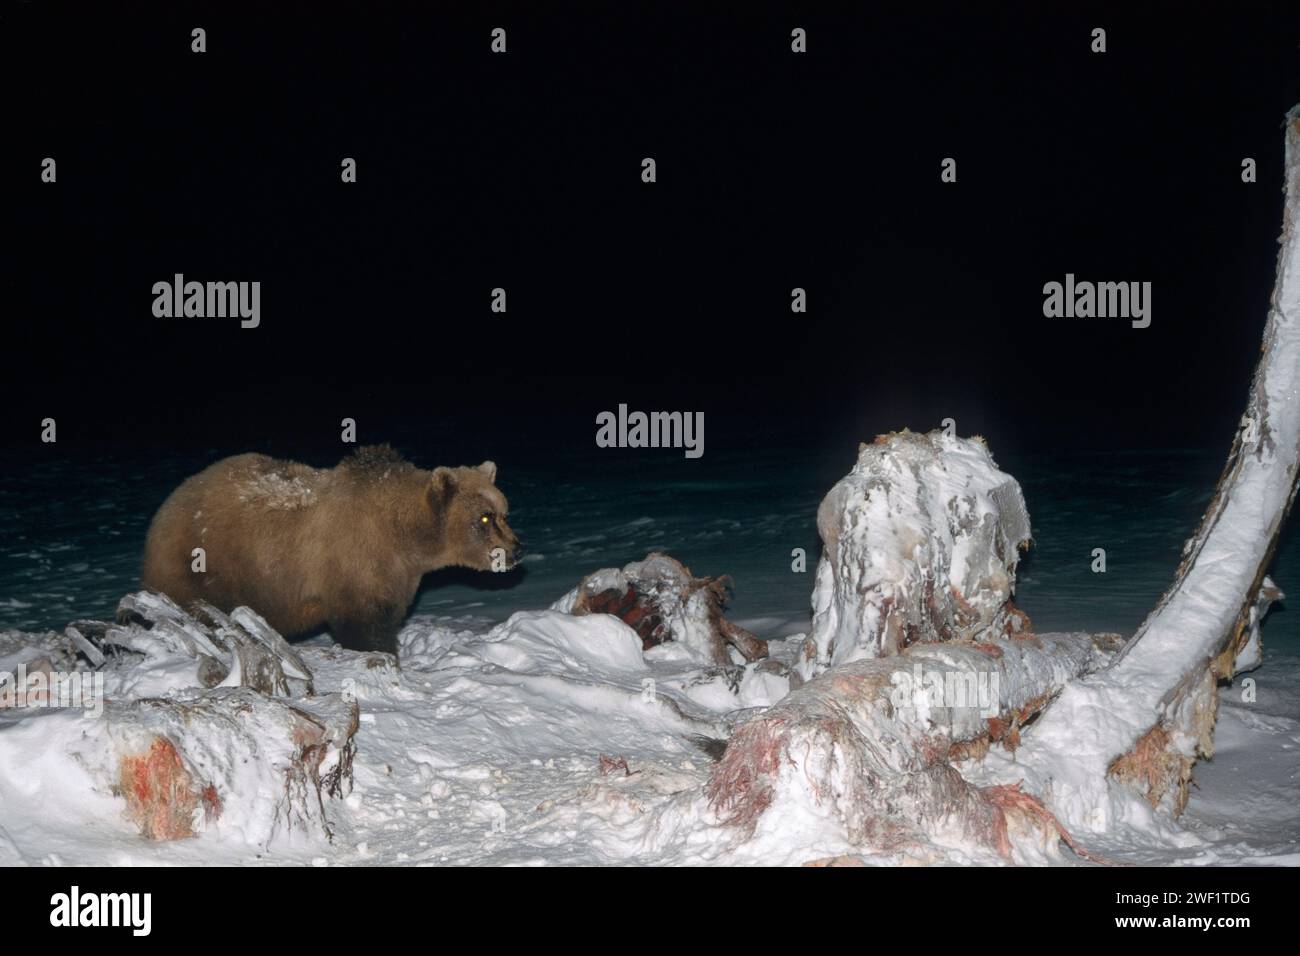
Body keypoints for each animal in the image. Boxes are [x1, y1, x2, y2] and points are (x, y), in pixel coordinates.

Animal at [140, 444, 522, 656]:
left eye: (503, 511)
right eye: (485, 517)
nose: (516, 550)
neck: (404, 536)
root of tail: (166, 506)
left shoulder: (396, 574)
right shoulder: (355, 564)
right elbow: (365, 626)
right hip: (198, 565)